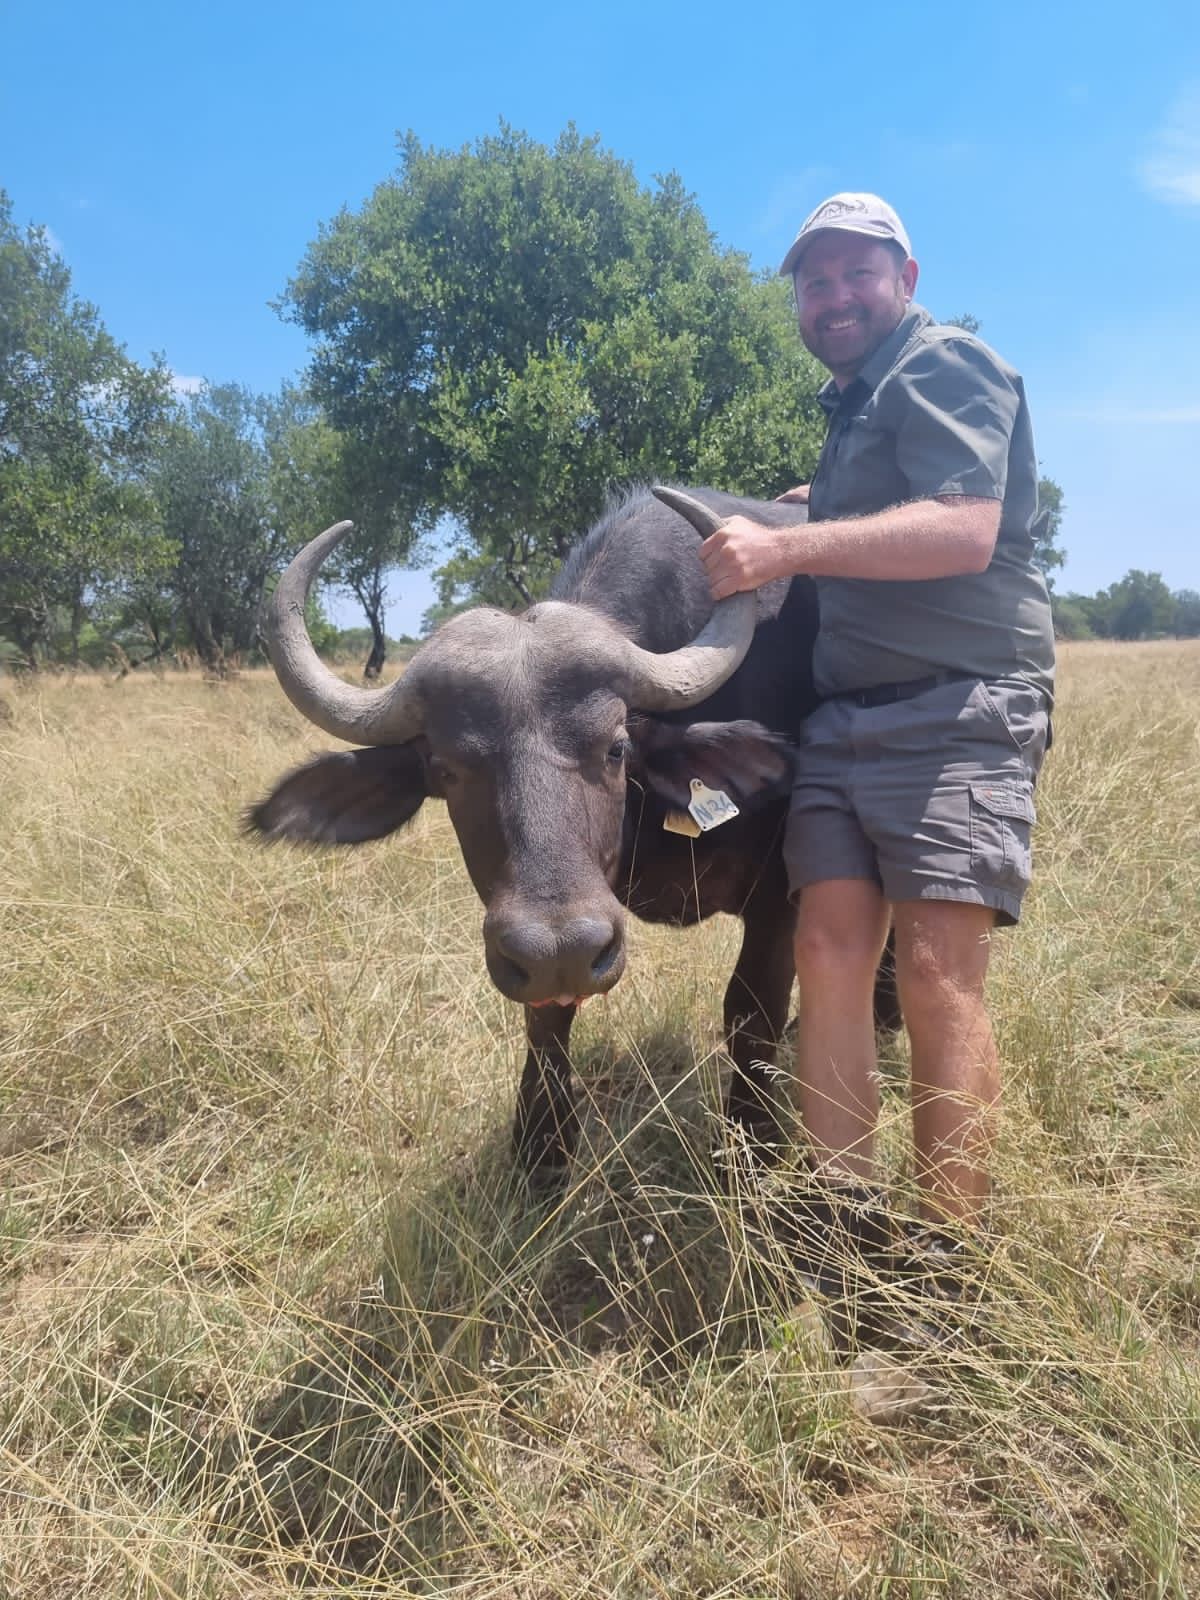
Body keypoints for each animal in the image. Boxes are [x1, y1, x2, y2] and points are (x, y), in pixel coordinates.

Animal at [249, 487, 897, 1179]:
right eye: (446, 770)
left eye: (616, 749)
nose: (560, 949)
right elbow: (547, 1021)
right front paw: (543, 1151)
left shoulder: (780, 900)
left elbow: (751, 1012)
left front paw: (752, 1147)